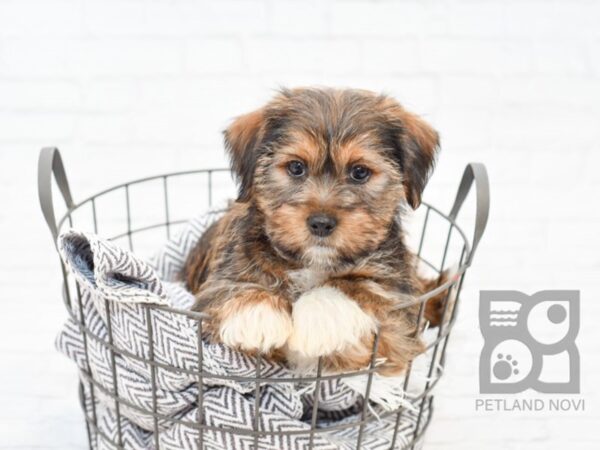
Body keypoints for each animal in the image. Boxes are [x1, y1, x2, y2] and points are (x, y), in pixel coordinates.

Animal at [185, 88, 448, 376]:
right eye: (296, 167)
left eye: (360, 172)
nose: (321, 223)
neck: (313, 263)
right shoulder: (216, 283)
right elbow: (229, 287)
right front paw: (257, 312)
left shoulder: (398, 319)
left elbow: (362, 285)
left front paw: (319, 315)